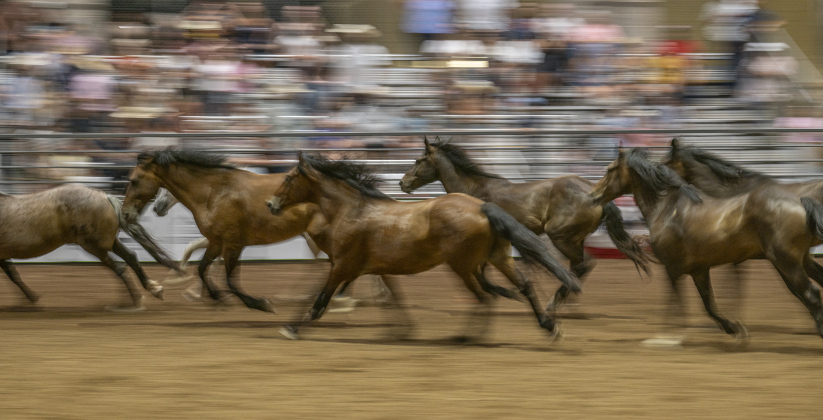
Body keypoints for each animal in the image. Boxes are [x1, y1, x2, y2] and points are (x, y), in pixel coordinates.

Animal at [0, 184, 172, 309]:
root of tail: (105, 196)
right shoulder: (2, 257)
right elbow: (13, 275)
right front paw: (32, 298)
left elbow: (13, 276)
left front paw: (31, 299)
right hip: (108, 242)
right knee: (131, 258)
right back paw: (153, 289)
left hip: (94, 246)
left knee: (120, 268)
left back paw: (135, 299)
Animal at [266, 152, 581, 341]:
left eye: (289, 178)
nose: (270, 204)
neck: (352, 210)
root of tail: (482, 207)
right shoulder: (375, 268)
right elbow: (394, 298)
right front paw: (404, 330)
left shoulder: (341, 266)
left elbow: (320, 300)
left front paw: (291, 328)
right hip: (498, 257)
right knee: (523, 286)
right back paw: (549, 326)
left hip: (464, 266)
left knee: (484, 297)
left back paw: (468, 337)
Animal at [399, 136, 650, 311]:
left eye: (419, 160)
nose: (403, 183)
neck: (475, 191)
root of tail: (596, 194)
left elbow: (483, 272)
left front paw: (507, 293)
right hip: (573, 239)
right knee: (579, 266)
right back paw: (567, 302)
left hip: (561, 236)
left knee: (582, 265)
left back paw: (556, 303)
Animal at [591, 148, 823, 340]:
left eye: (609, 170)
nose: (593, 195)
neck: (666, 209)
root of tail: (801, 202)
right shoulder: (699, 270)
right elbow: (709, 304)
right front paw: (734, 328)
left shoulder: (672, 269)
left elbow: (677, 303)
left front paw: (669, 337)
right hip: (794, 259)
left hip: (786, 260)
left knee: (811, 293)